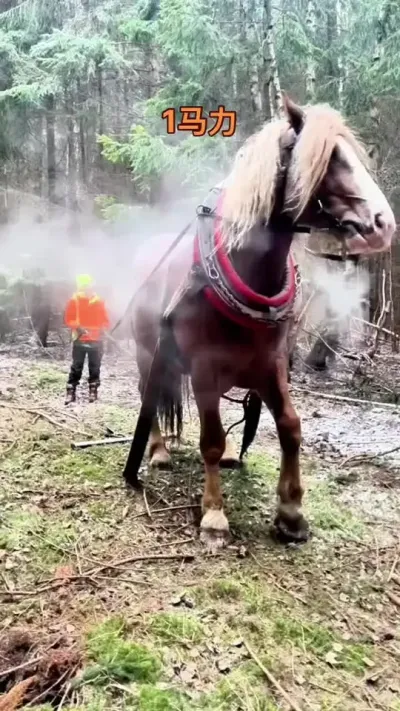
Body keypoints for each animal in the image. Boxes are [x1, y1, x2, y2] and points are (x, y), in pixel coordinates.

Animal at [122, 95, 395, 552]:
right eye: (329, 159)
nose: (383, 224)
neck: (247, 270)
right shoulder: (205, 370)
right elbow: (210, 440)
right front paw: (214, 515)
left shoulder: (271, 367)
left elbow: (290, 426)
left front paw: (291, 512)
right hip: (149, 352)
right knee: (151, 395)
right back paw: (158, 450)